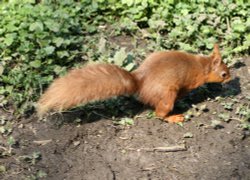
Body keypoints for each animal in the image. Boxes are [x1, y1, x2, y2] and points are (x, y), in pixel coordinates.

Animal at [37, 44, 230, 122]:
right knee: (159, 114)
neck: (202, 65)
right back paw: (173, 117)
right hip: (167, 96)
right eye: (224, 74)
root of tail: (140, 82)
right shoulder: (189, 83)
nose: (229, 79)